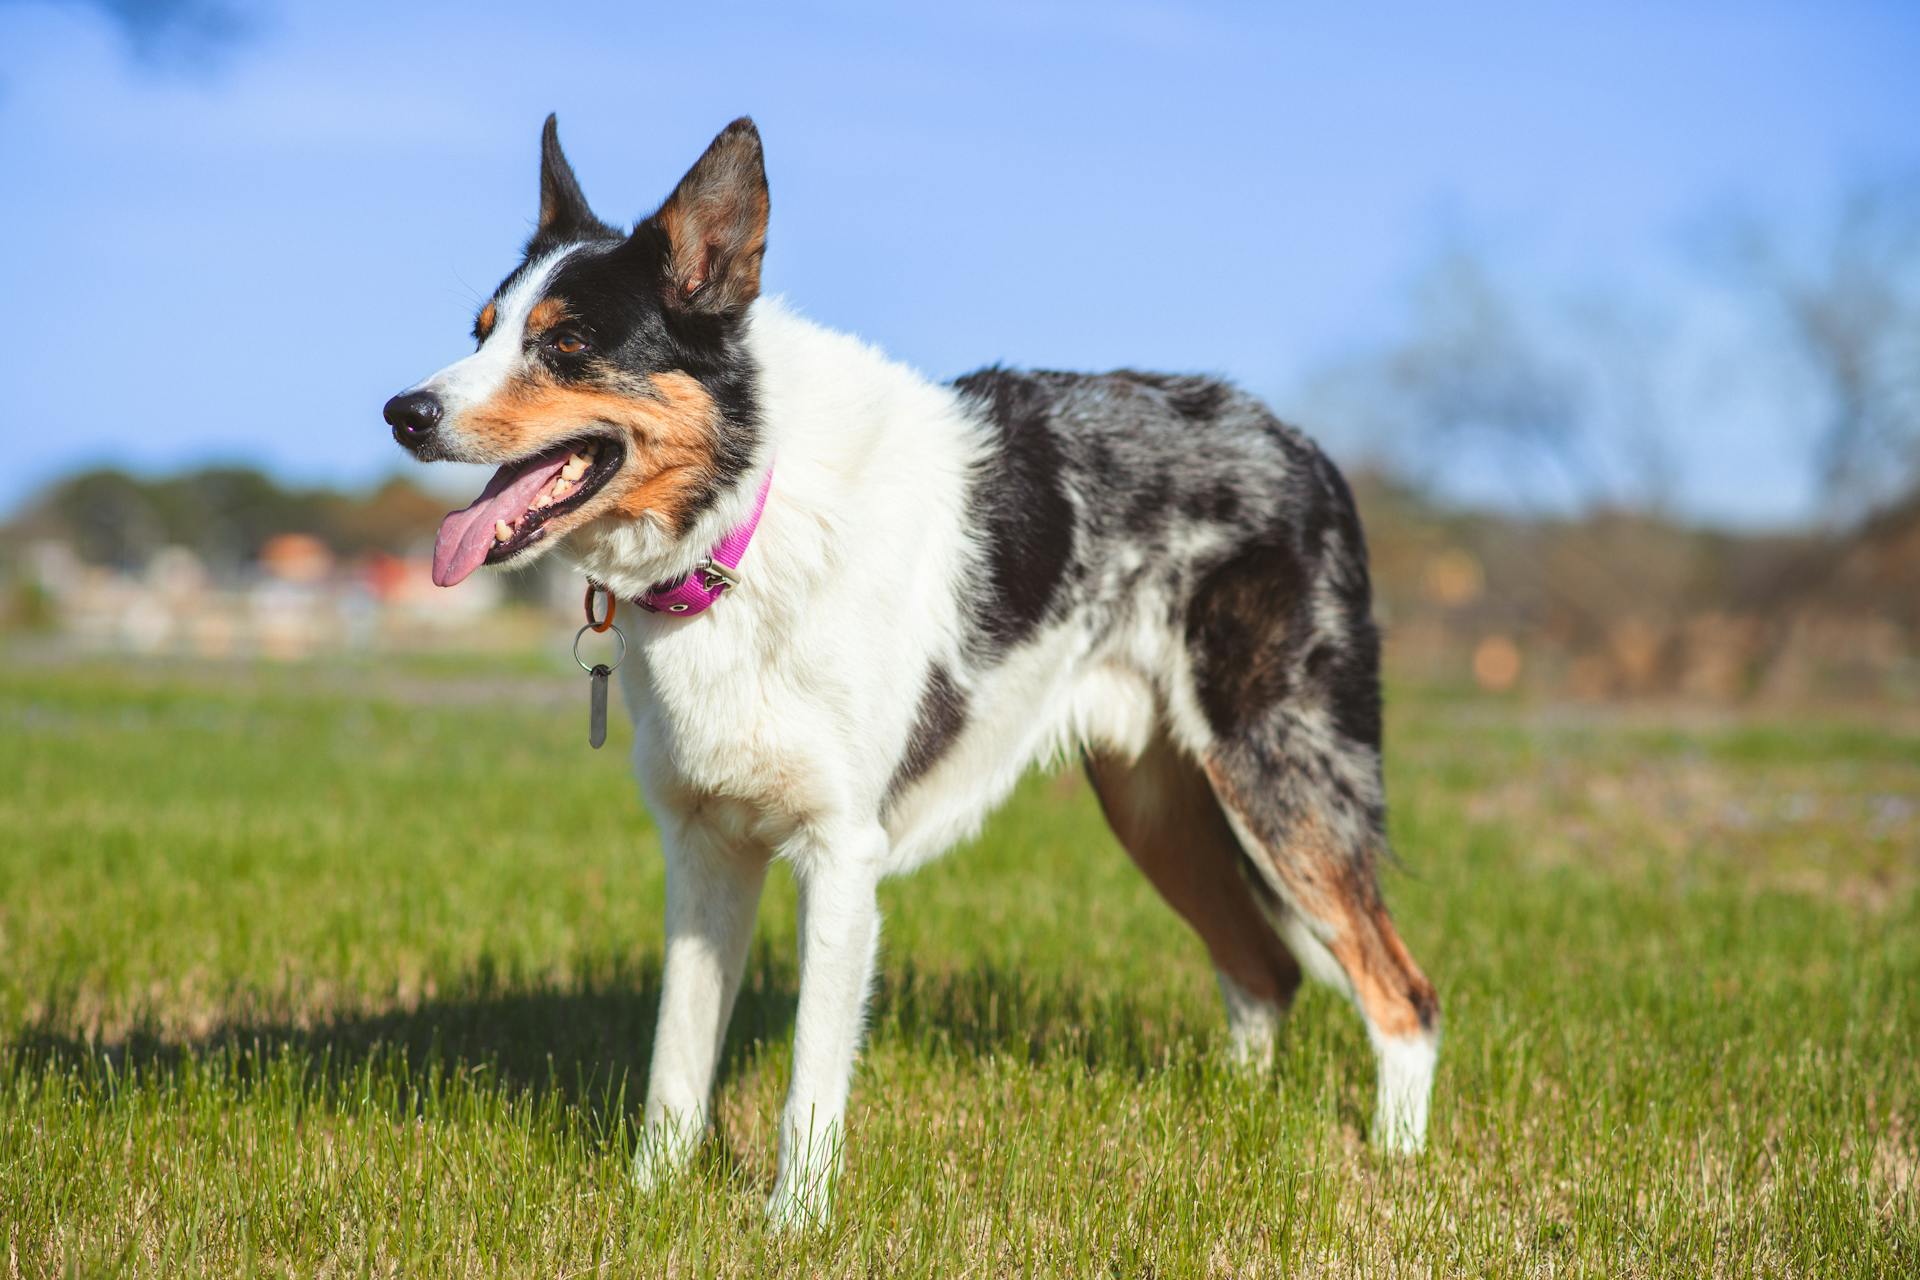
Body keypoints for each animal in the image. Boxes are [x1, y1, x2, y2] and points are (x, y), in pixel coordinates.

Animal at [382, 117, 1443, 1220]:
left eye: (566, 344)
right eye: (480, 333)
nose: (402, 412)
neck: (745, 518)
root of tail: (1303, 446)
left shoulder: (841, 854)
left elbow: (810, 1083)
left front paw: (792, 1225)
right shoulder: (704, 850)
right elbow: (675, 1062)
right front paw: (652, 1201)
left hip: (1281, 782)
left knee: (1401, 993)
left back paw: (1396, 1165)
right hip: (1158, 807)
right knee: (1265, 970)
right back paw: (1236, 1123)